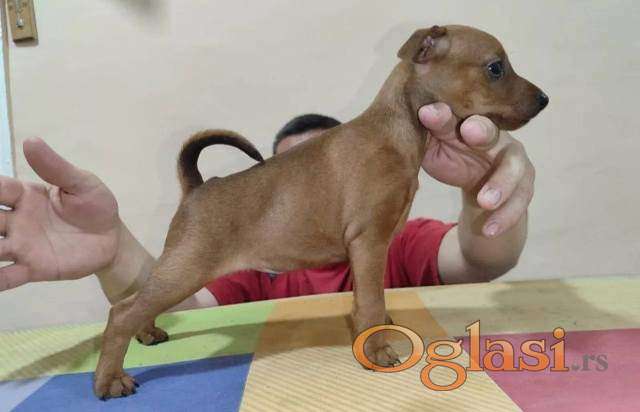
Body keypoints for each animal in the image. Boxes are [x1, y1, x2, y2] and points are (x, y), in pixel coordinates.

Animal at [93, 24, 548, 398]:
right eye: (495, 68)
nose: (545, 99)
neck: (396, 131)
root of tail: (199, 187)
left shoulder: (369, 248)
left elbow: (368, 300)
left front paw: (373, 333)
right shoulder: (369, 241)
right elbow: (370, 302)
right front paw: (378, 350)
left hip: (177, 267)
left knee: (136, 299)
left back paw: (148, 333)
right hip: (188, 267)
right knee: (122, 311)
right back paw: (110, 379)